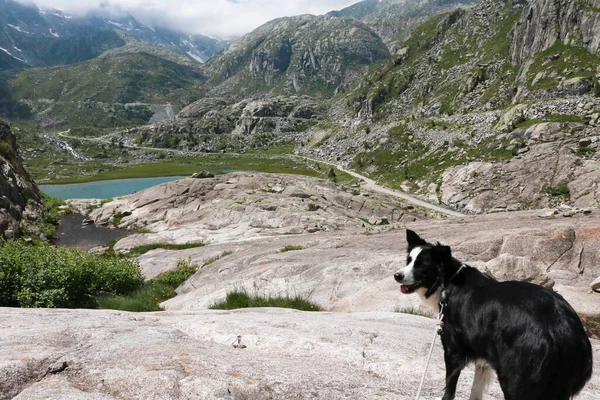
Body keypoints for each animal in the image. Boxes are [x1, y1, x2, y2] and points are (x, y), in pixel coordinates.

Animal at [394, 230, 592, 400]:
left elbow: (449, 388)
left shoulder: (453, 350)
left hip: (516, 376)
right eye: (408, 260)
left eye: (421, 265)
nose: (397, 275)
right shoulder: (483, 356)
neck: (448, 282)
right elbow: (475, 391)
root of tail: (564, 326)